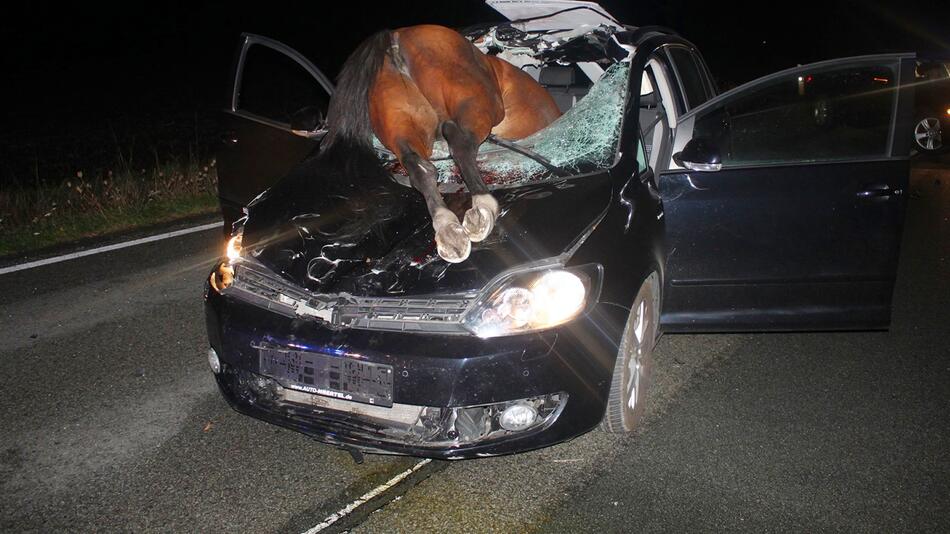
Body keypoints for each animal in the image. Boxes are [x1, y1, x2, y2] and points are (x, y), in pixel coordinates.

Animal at [324, 25, 560, 264]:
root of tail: (395, 36)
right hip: (480, 104)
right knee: (459, 141)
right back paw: (482, 207)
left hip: (402, 123)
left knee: (420, 167)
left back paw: (447, 229)